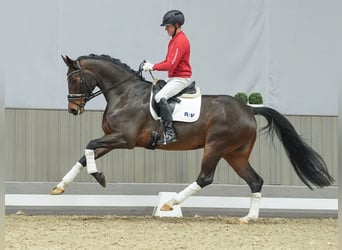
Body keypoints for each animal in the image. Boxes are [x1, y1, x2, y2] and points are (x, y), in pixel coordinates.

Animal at [51, 54, 334, 223]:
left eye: (74, 79)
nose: (73, 110)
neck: (125, 94)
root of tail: (248, 108)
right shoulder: (113, 138)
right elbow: (85, 155)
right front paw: (61, 186)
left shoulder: (125, 140)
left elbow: (88, 145)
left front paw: (99, 177)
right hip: (236, 153)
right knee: (255, 181)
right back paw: (248, 218)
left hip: (216, 147)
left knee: (205, 178)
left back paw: (170, 203)